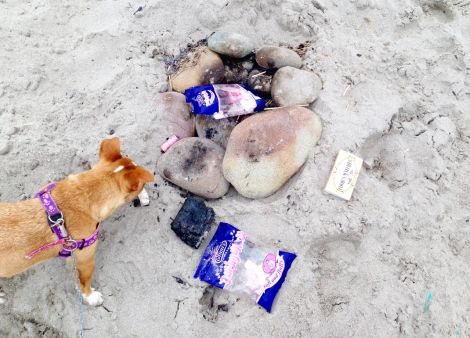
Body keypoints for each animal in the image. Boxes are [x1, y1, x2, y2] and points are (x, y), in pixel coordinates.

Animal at [0, 137, 154, 306]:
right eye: (142, 184)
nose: (145, 193)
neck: (83, 193)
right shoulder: (85, 259)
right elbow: (84, 283)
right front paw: (91, 297)